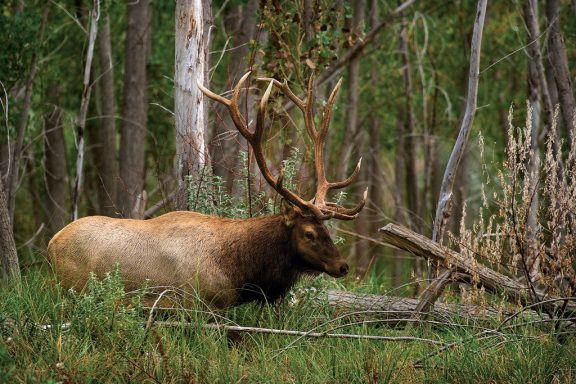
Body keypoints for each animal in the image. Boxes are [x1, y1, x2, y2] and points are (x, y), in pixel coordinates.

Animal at [48, 73, 364, 308]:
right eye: (309, 233)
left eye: (327, 230)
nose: (343, 266)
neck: (240, 270)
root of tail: (51, 245)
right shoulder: (201, 304)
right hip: (72, 289)